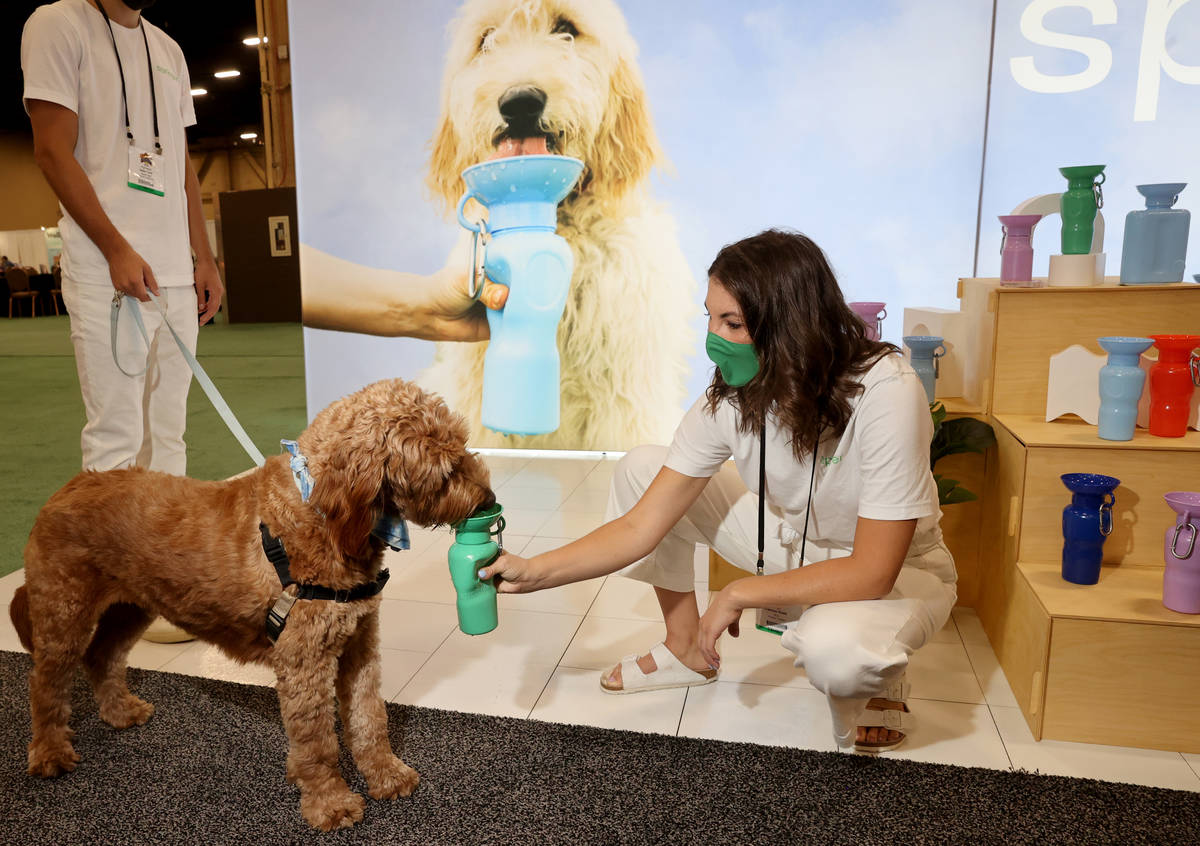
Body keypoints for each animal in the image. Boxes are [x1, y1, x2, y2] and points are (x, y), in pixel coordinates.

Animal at [8, 379, 492, 830]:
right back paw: (49, 752)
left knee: (102, 656)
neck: (317, 512)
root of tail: (69, 485)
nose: (489, 501)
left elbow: (370, 718)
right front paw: (329, 802)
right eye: (446, 469)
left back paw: (119, 712)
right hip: (64, 613)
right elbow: (318, 743)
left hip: (131, 608)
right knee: (45, 685)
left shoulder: (359, 644)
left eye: (463, 445)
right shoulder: (304, 663)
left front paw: (387, 775)